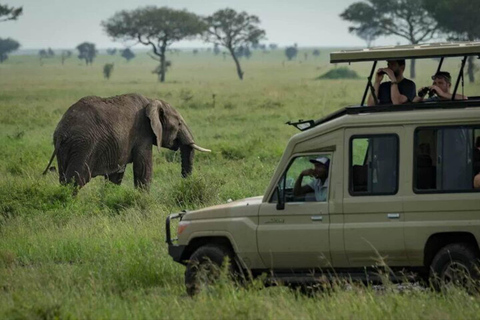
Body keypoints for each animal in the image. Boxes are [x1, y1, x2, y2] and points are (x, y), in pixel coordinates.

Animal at [42, 92, 211, 189]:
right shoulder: (142, 132)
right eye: (180, 124)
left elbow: (116, 175)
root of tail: (61, 132)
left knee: (64, 179)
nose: (184, 183)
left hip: (66, 149)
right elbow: (143, 168)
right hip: (83, 146)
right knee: (75, 180)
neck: (151, 101)